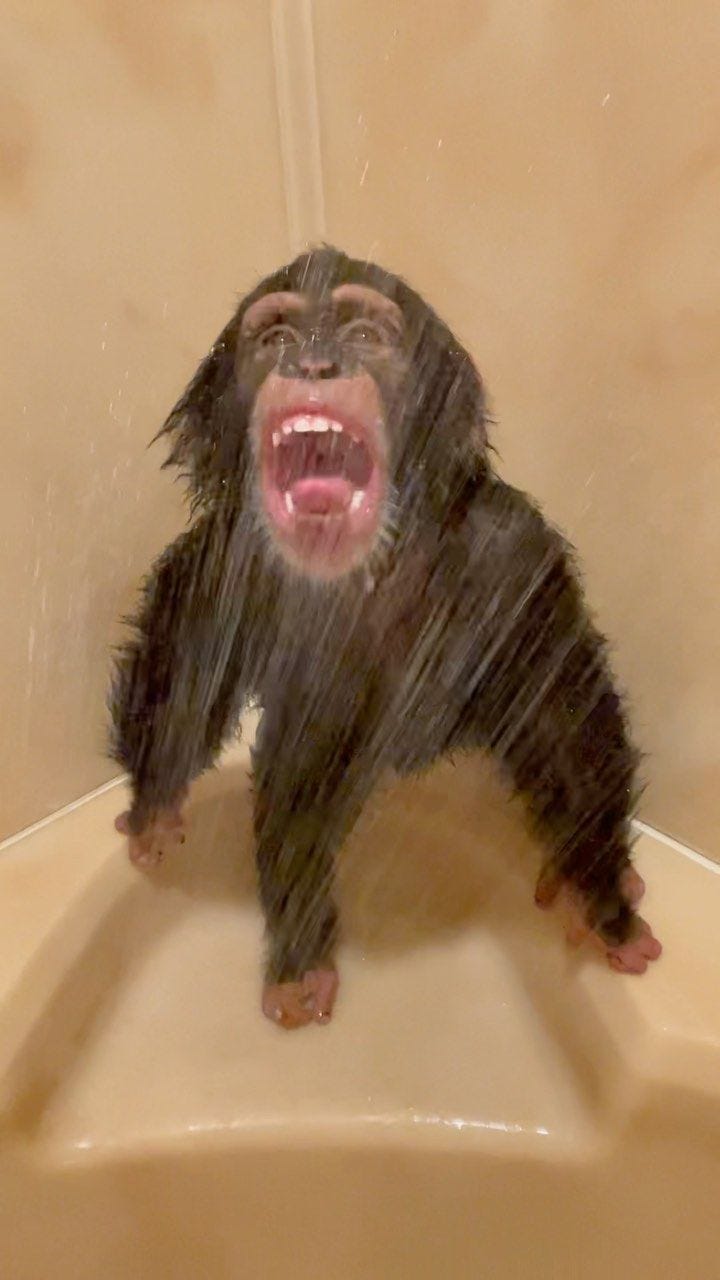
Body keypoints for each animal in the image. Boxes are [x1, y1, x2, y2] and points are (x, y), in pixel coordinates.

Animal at [110, 246, 662, 1030]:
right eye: (277, 337)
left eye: (365, 335)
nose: (315, 361)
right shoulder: (228, 558)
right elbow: (197, 665)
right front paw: (157, 809)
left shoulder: (514, 555)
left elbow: (560, 717)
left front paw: (606, 904)